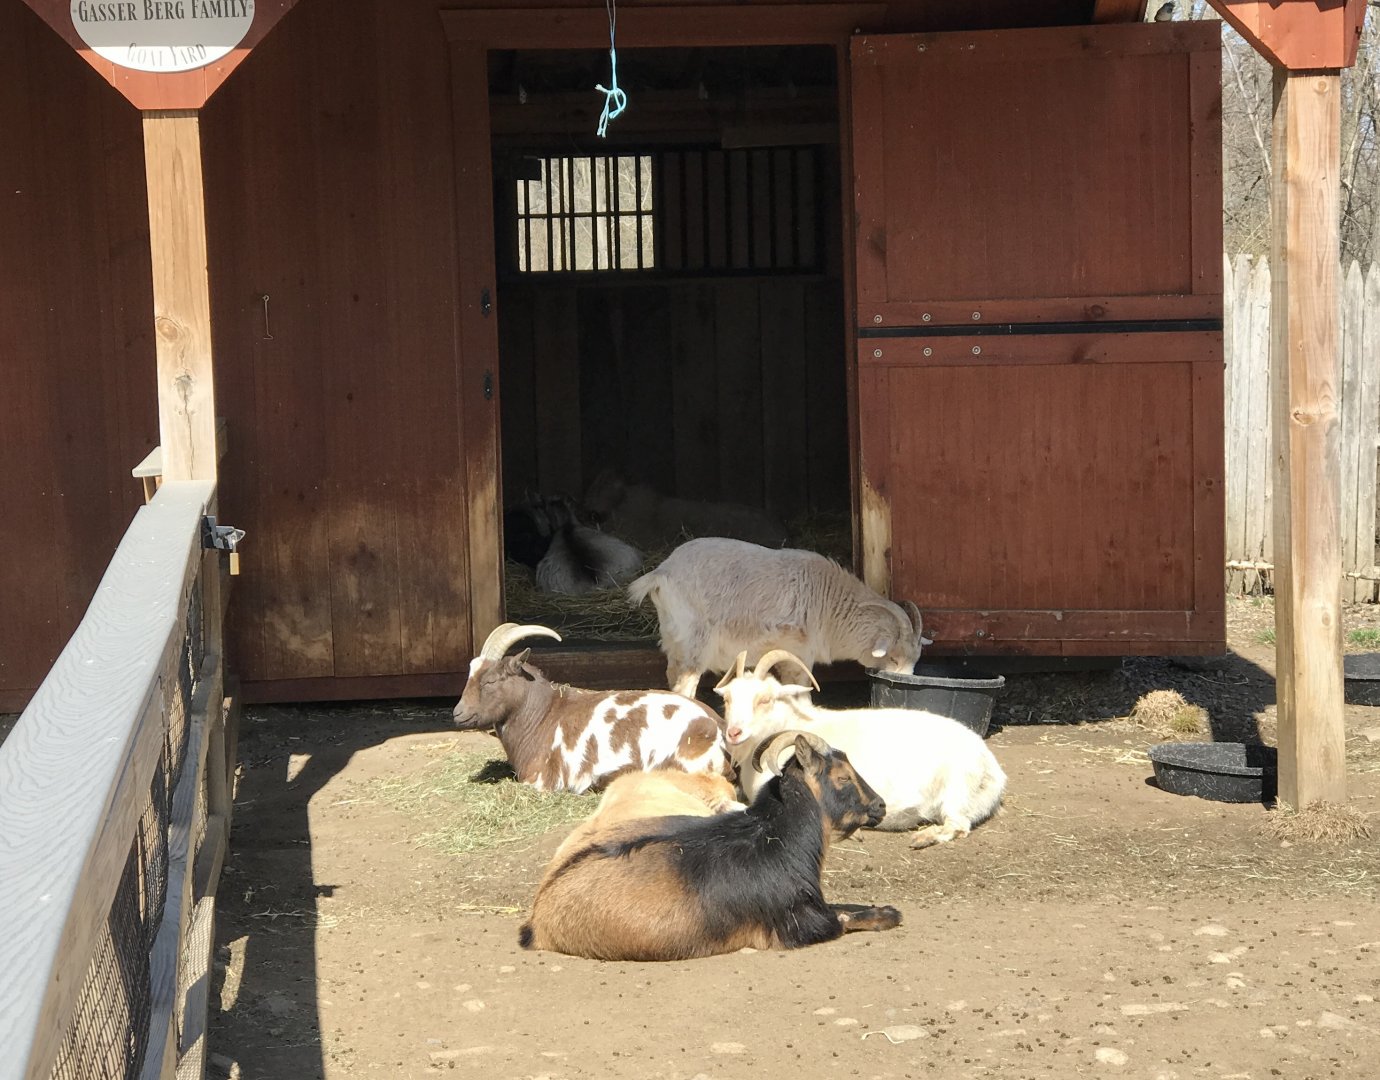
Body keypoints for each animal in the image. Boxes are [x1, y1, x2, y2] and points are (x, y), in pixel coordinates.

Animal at [519, 732, 902, 960]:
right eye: (843, 777)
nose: (880, 805)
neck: (777, 838)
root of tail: (537, 918)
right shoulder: (800, 925)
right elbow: (845, 918)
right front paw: (890, 914)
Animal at [627, 537, 930, 697]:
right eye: (894, 659)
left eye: (915, 659)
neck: (828, 603)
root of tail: (662, 573)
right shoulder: (798, 654)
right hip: (696, 643)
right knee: (684, 685)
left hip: (673, 638)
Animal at [716, 651, 1006, 849]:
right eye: (727, 699)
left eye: (765, 699)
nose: (734, 733)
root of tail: (994, 770)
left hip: (957, 791)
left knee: (958, 825)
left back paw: (922, 837)